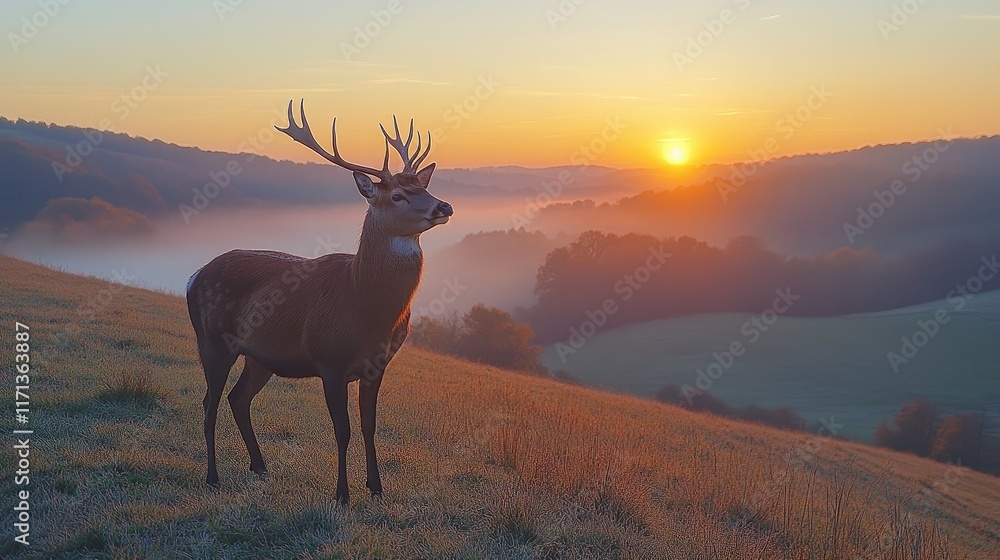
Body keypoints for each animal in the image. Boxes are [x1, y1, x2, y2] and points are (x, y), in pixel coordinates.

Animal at [185, 99, 453, 504]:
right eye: (397, 196)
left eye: (424, 187)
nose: (444, 207)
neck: (367, 309)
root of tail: (193, 277)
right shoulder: (330, 360)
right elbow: (342, 430)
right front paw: (342, 494)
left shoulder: (378, 365)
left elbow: (369, 425)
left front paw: (376, 488)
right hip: (212, 340)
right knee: (209, 403)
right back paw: (213, 477)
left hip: (260, 356)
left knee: (238, 398)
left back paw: (260, 466)